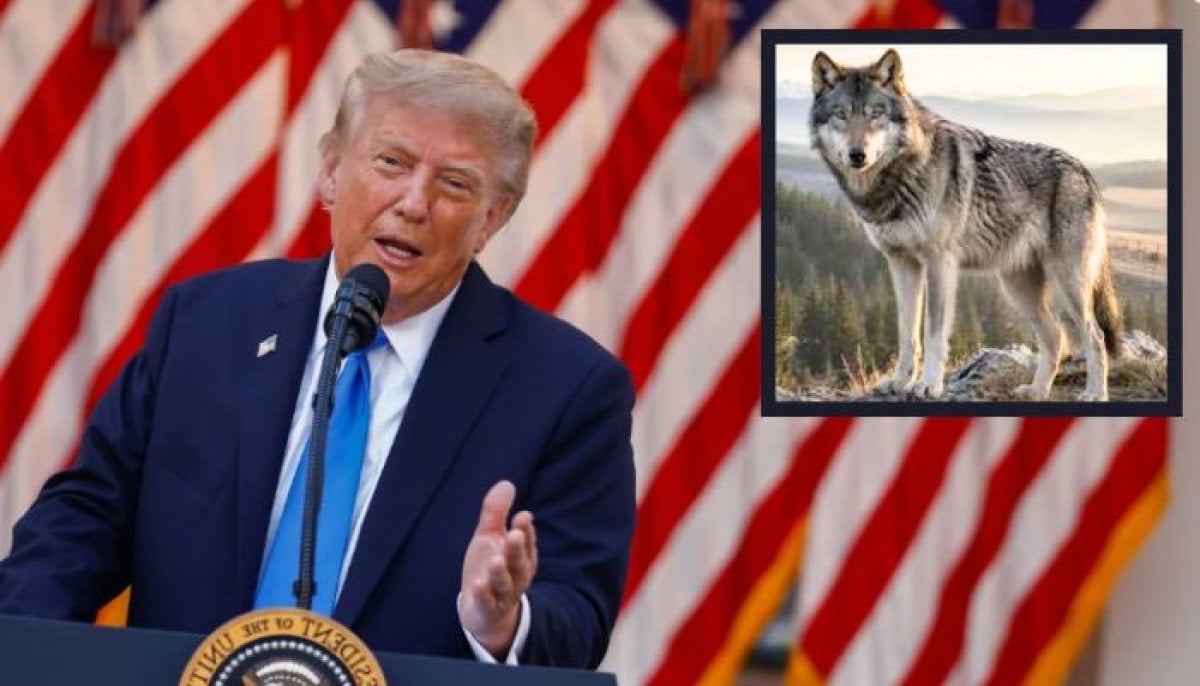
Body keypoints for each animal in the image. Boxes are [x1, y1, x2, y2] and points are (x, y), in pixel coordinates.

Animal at [808, 49, 1122, 401]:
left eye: (876, 113)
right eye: (841, 114)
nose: (857, 155)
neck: (900, 177)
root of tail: (1085, 172)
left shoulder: (939, 263)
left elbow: (933, 333)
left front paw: (928, 384)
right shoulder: (901, 264)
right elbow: (906, 333)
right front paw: (900, 381)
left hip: (1068, 284)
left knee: (1095, 337)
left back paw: (1094, 394)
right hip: (1017, 288)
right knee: (1056, 337)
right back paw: (1036, 391)